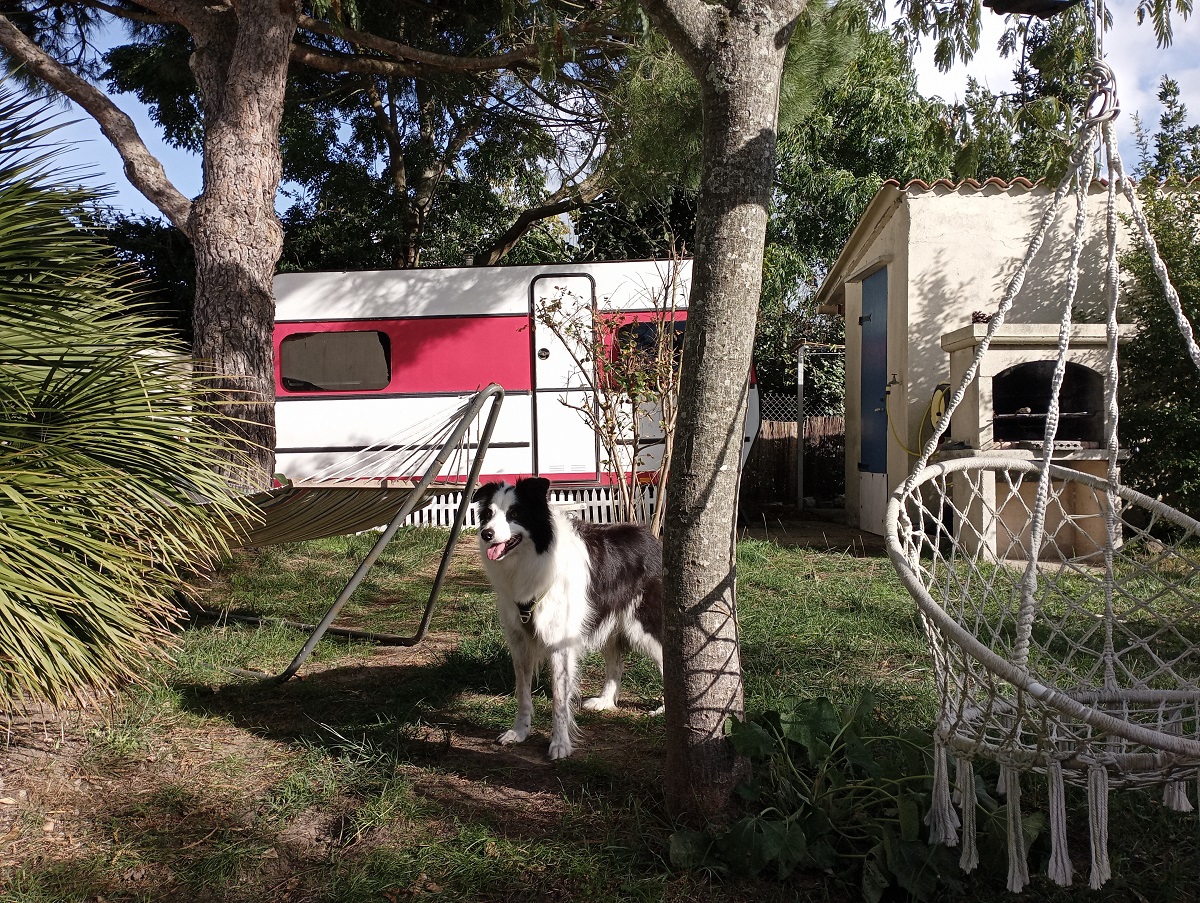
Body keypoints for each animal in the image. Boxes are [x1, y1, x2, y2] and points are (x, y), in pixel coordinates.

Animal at [470, 475, 667, 758]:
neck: (535, 557)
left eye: (515, 513)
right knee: (616, 661)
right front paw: (520, 732)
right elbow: (523, 693)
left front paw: (560, 743)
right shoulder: (519, 642)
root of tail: (652, 538)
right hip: (606, 620)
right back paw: (605, 701)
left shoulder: (559, 644)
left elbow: (559, 699)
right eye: (488, 514)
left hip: (644, 624)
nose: (486, 534)